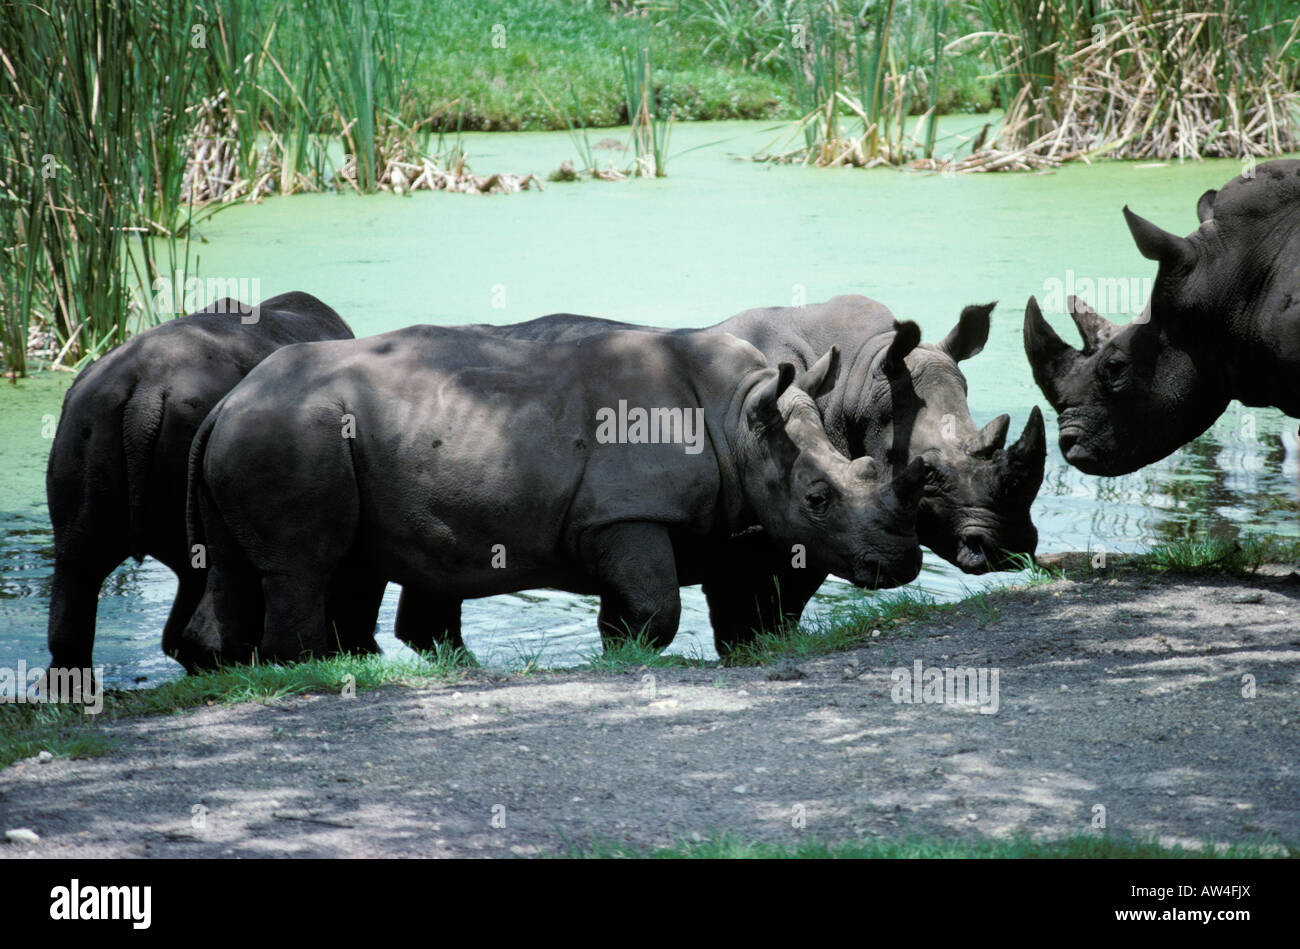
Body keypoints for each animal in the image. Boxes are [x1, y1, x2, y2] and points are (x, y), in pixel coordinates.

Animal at [183, 323, 925, 657]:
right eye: (818, 500)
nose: (906, 562)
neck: (739, 417)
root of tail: (228, 401)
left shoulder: (676, 517)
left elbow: (657, 610)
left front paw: (615, 651)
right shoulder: (625, 514)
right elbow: (656, 606)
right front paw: (626, 655)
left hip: (260, 430)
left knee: (233, 565)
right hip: (291, 432)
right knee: (305, 566)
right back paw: (312, 666)